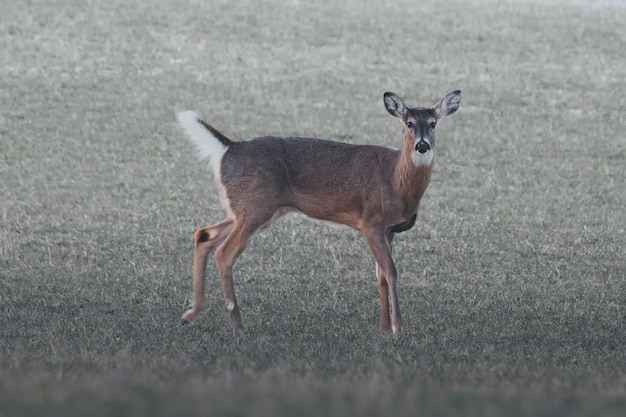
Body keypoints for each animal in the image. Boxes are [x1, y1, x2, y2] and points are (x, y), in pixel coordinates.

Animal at [176, 90, 458, 334]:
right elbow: (391, 272)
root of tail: (228, 148)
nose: (422, 146)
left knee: (204, 234)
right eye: (409, 123)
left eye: (433, 123)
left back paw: (190, 313)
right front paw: (398, 328)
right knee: (224, 253)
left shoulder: (390, 230)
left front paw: (385, 328)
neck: (395, 180)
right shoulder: (371, 222)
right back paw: (236, 324)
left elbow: (380, 275)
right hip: (254, 207)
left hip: (248, 210)